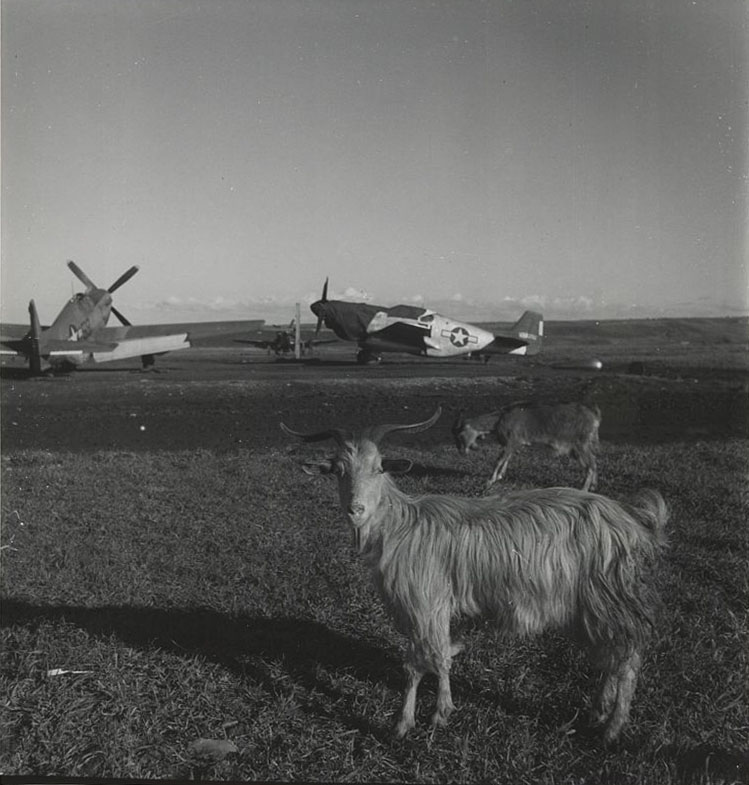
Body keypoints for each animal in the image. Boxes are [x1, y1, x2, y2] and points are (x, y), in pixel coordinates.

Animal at [450, 402, 600, 486]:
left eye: (460, 435)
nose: (461, 451)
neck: (499, 419)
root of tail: (594, 416)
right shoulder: (513, 444)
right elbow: (507, 458)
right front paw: (499, 476)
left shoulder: (511, 441)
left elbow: (499, 460)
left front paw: (490, 480)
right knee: (592, 463)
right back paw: (593, 485)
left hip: (581, 444)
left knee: (591, 466)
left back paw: (584, 489)